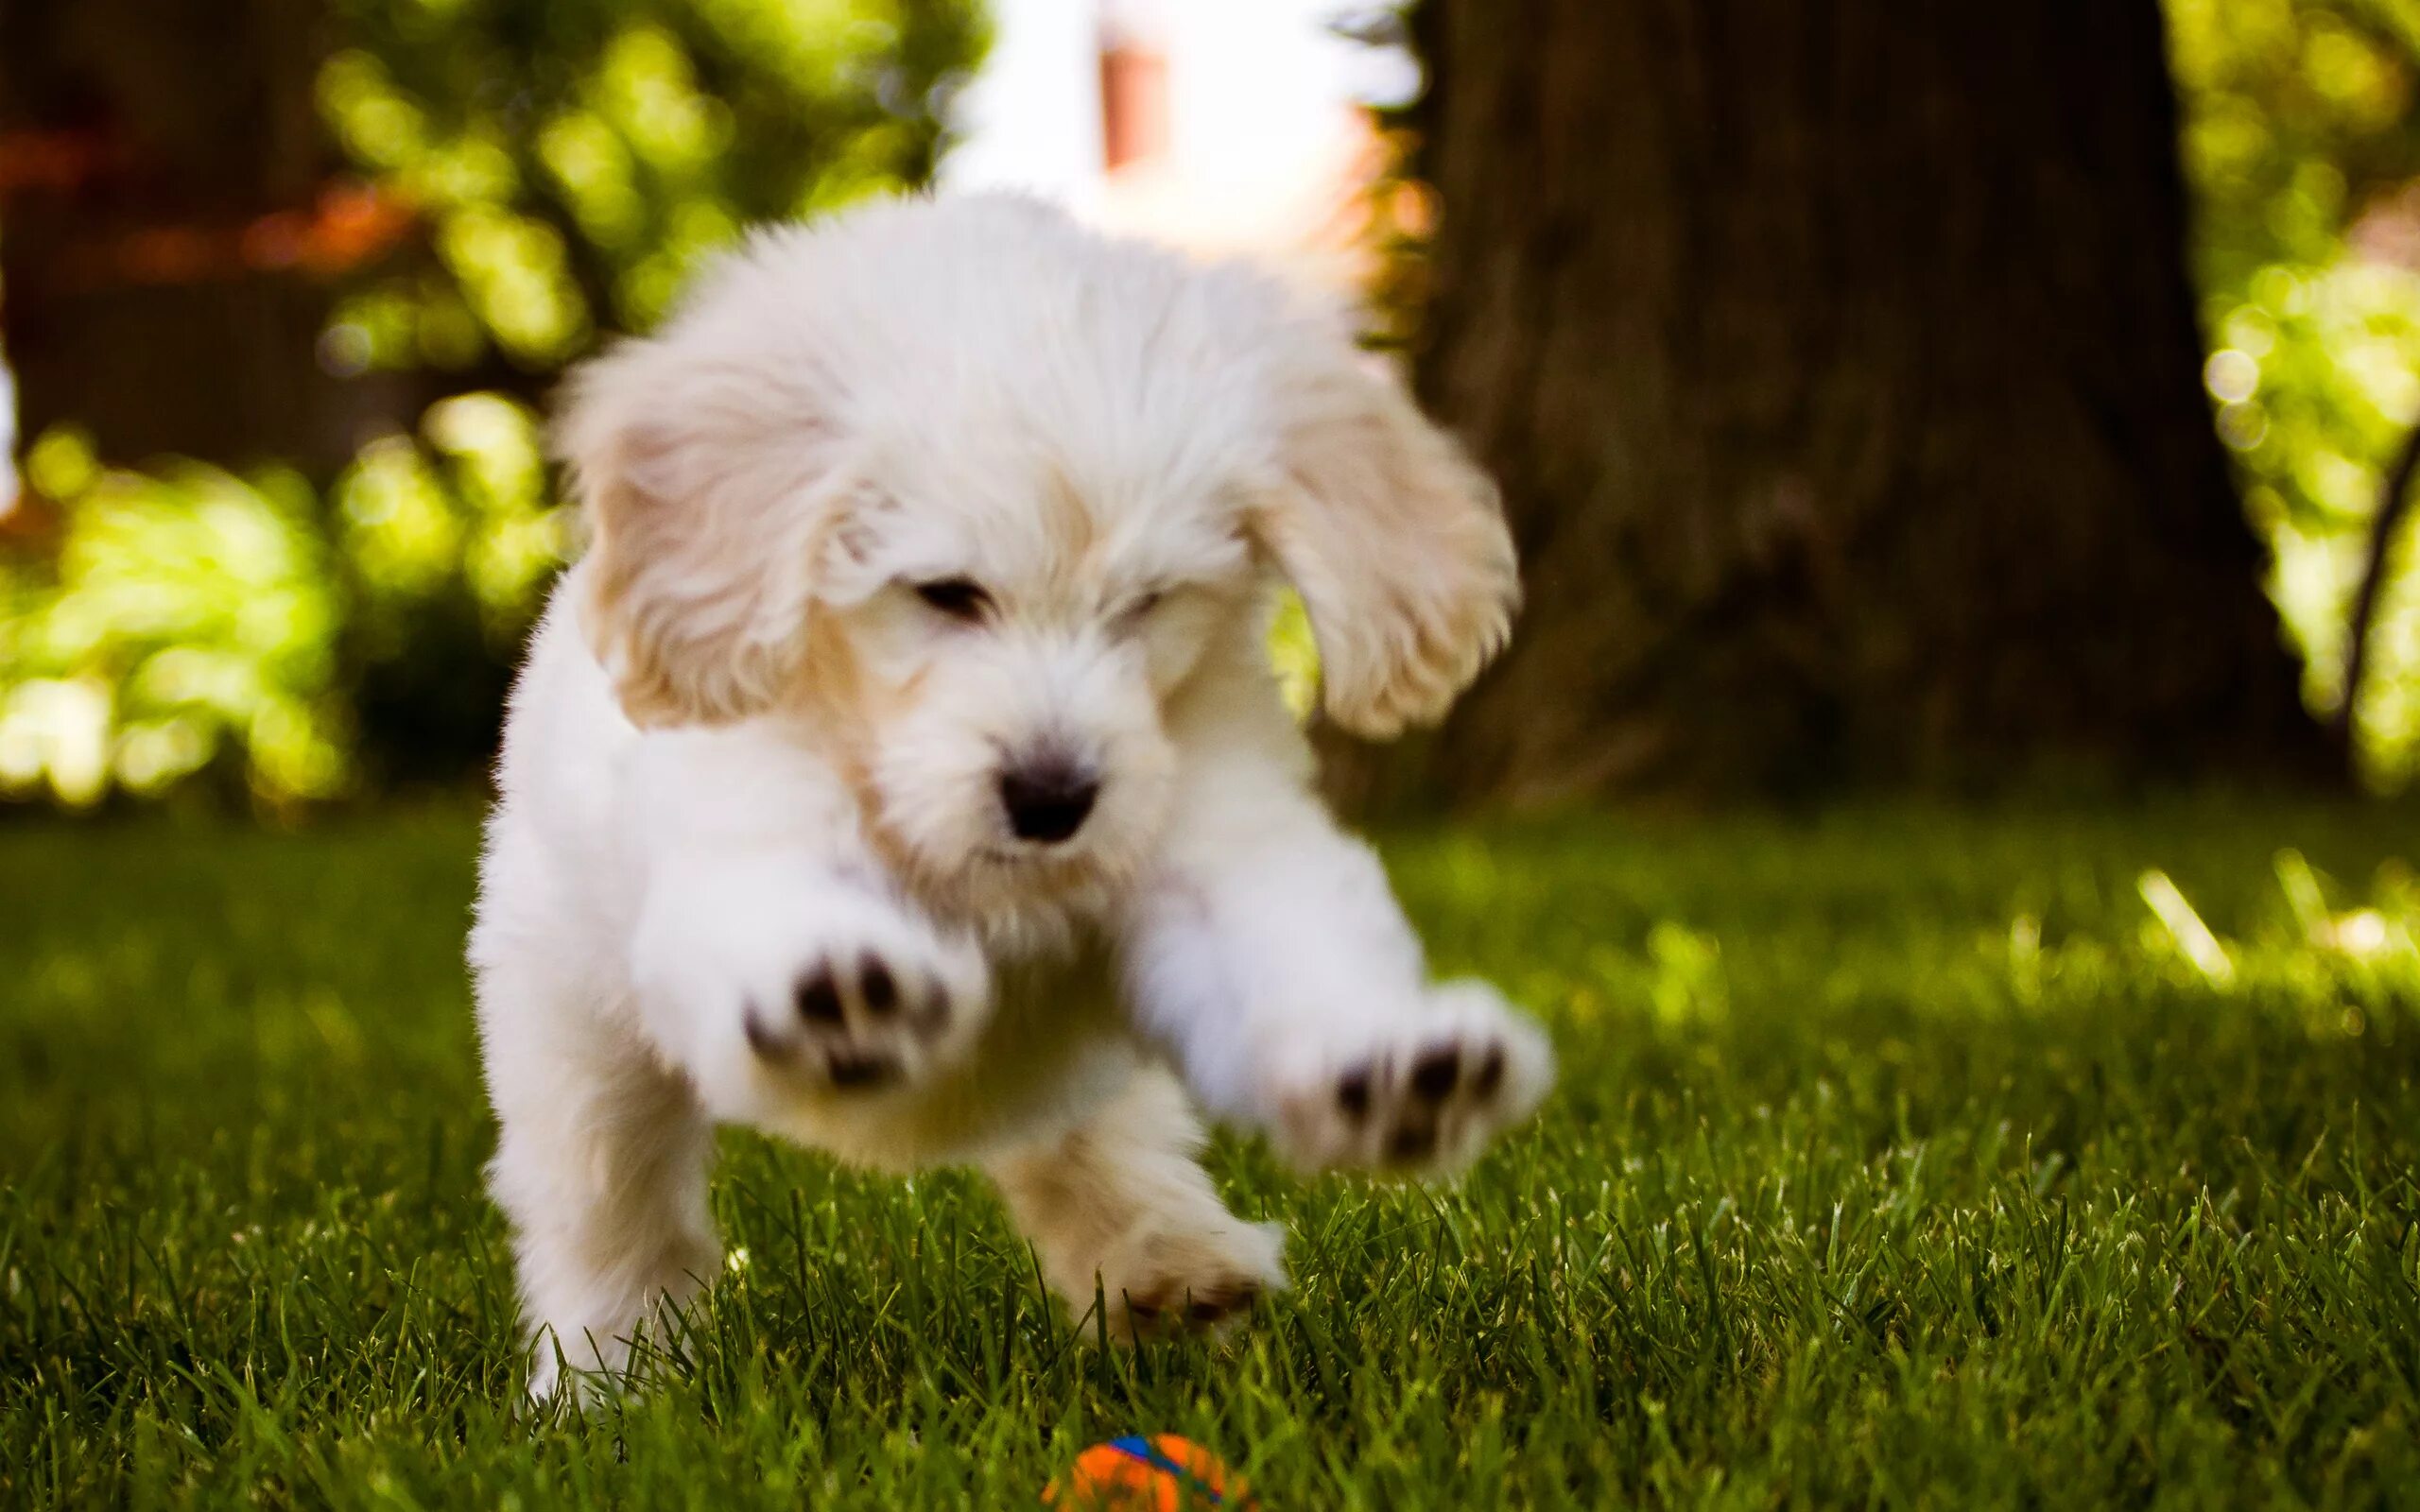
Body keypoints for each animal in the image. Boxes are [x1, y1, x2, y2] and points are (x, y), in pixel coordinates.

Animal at [469, 195, 1558, 1393]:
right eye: (945, 594)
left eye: (1148, 601)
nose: (1051, 798)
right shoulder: (738, 828)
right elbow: (774, 909)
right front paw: (839, 989)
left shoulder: (1213, 835)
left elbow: (1288, 947)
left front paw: (1389, 1067)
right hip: (571, 1034)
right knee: (609, 1211)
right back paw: (608, 1382)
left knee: (1093, 1150)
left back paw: (1166, 1259)